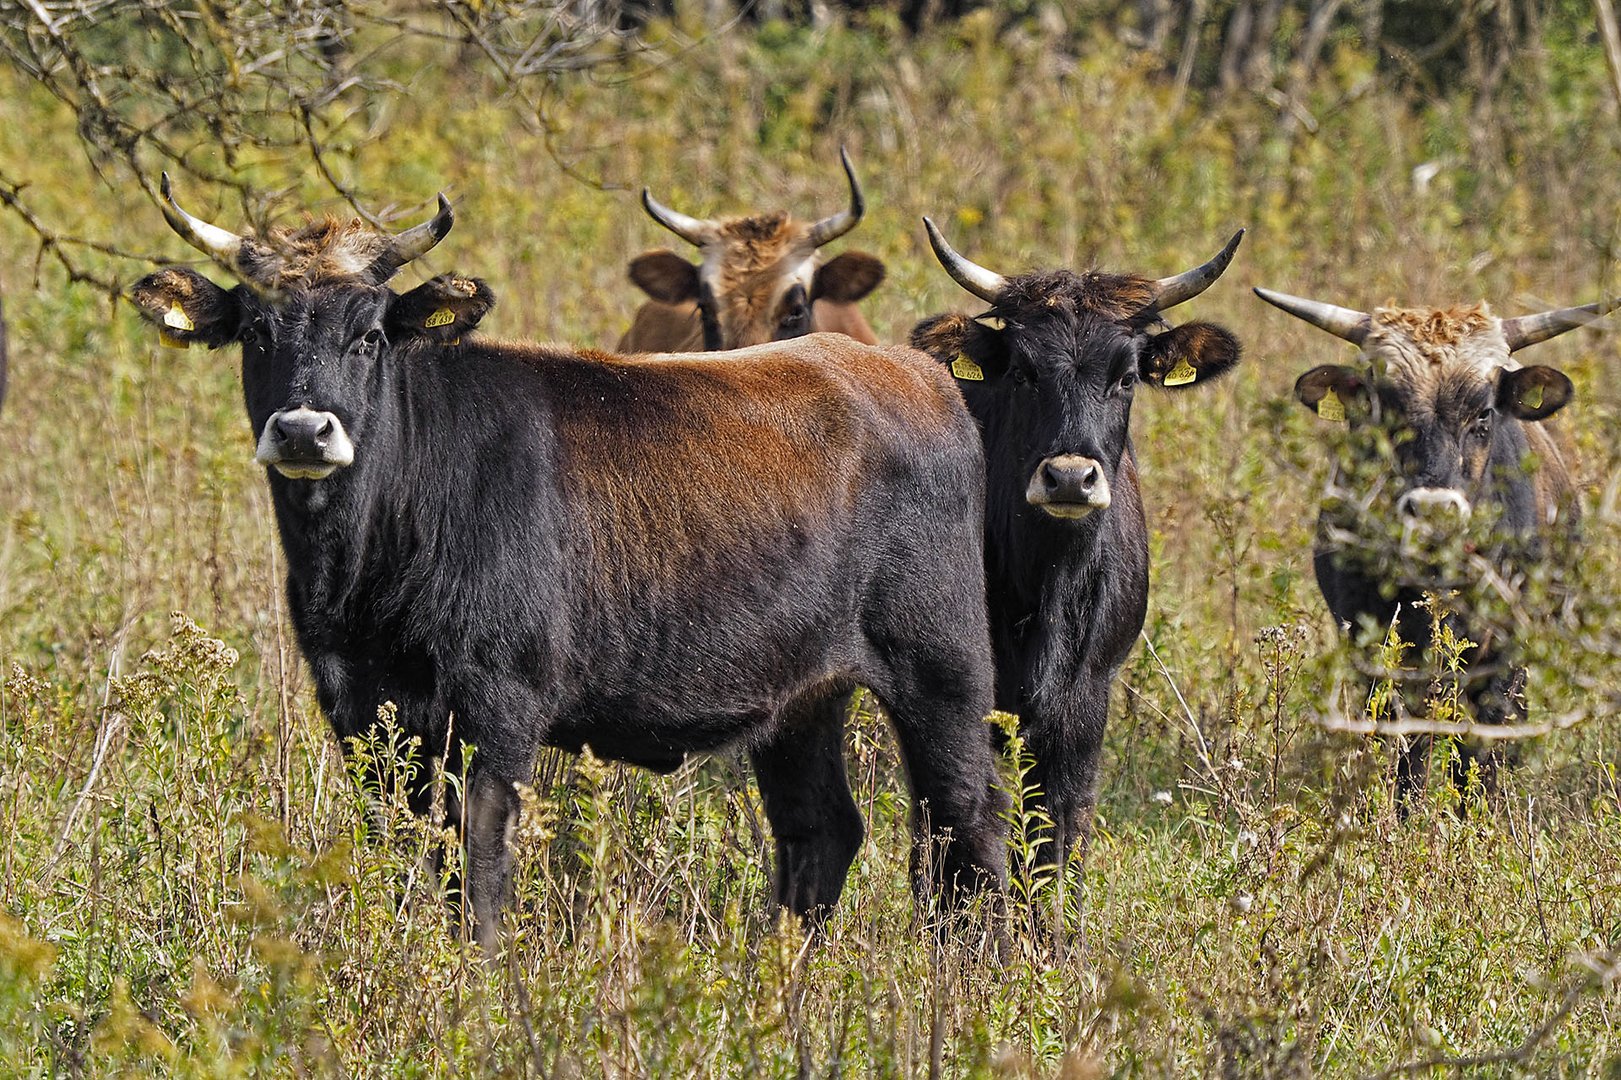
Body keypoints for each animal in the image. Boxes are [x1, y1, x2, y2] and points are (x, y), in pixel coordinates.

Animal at [132, 176, 1005, 953]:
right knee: (820, 831)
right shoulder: (362, 712)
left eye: (369, 333)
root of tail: (912, 372)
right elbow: (406, 857)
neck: (370, 559)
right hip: (802, 700)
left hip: (942, 673)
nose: (304, 431)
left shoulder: (498, 709)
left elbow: (479, 869)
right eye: (257, 331)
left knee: (970, 821)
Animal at [914, 218, 1238, 875]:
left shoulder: (1083, 706)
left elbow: (1058, 830)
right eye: (1024, 372)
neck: (1047, 583)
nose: (1068, 478)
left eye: (1127, 376)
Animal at [1251, 285, 1608, 797]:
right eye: (1387, 409)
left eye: (1484, 413)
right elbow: (1406, 745)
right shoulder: (1375, 647)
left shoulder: (1505, 657)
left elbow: (1481, 748)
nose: (1434, 511)